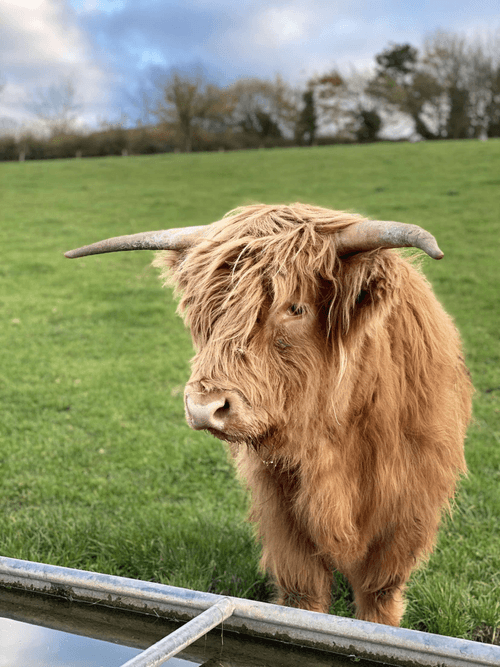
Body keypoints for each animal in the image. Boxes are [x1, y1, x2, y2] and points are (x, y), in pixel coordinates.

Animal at [66, 202, 472, 628]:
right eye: (205, 308)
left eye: (295, 308)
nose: (204, 407)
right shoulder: (281, 503)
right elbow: (301, 594)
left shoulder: (408, 507)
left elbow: (379, 598)